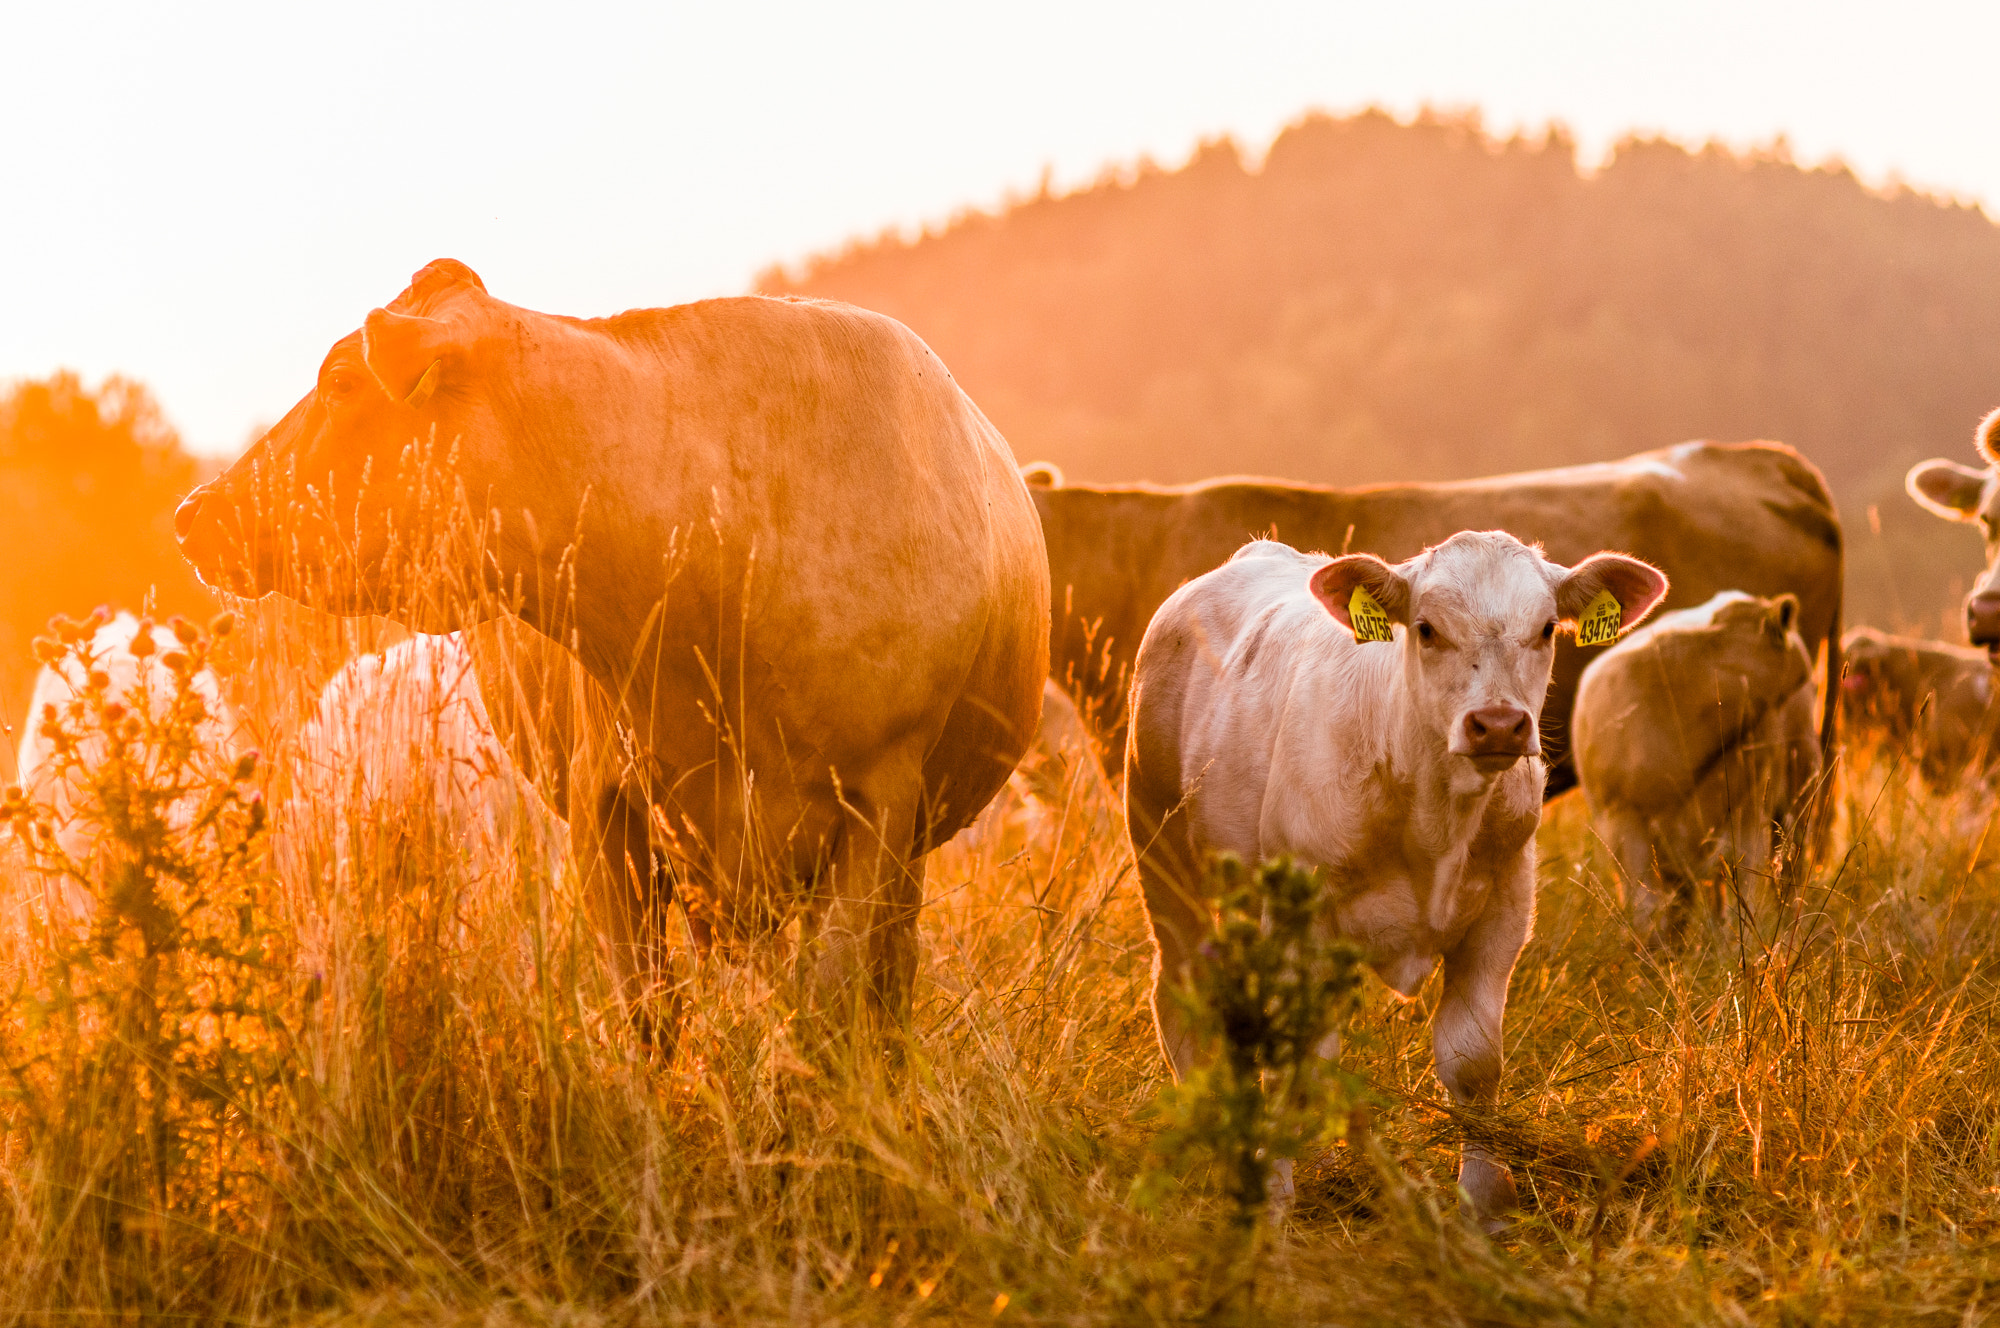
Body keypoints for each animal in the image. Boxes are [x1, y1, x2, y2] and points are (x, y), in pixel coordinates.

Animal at [174, 260, 1056, 1024]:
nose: (193, 510)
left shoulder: (879, 807)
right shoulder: (609, 810)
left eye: (339, 381)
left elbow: (834, 1005)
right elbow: (650, 1014)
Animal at [1128, 528, 1672, 1224]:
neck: (1433, 813)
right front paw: (1272, 1201)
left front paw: (1485, 1205)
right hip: (1161, 847)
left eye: (1547, 628)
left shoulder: (1502, 911)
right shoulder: (1299, 919)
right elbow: (1294, 1056)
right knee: (1181, 991)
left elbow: (1472, 1059)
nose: (1498, 724)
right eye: (1427, 629)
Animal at [1576, 592, 1832, 932]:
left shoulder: (1746, 817)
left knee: (1790, 872)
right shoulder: (1623, 824)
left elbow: (1745, 901)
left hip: (1798, 788)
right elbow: (1646, 912)